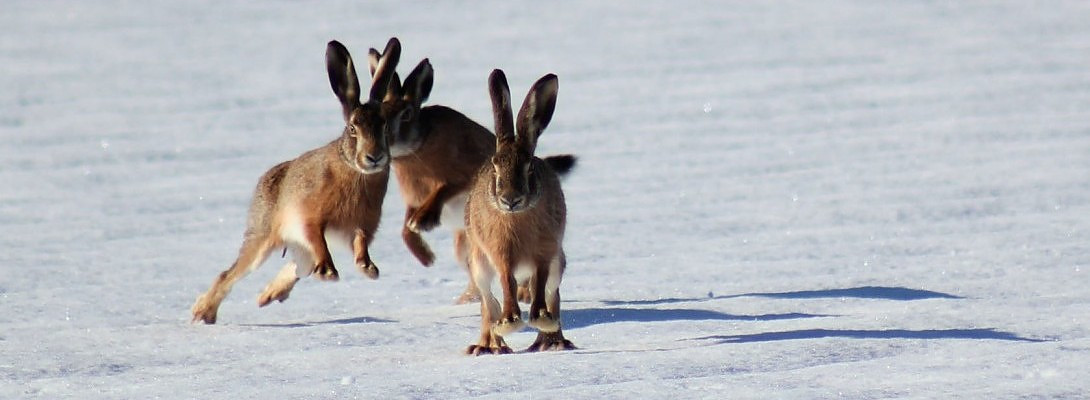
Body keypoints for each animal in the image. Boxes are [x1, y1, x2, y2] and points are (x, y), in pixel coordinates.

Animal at [190, 38, 403, 324]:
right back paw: (203, 313)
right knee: (232, 272)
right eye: (352, 129)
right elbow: (318, 239)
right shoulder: (308, 217)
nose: (375, 157)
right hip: (263, 236)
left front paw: (367, 268)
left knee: (296, 266)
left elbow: (360, 243)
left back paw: (268, 295)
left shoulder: (363, 223)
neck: (353, 170)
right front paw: (329, 273)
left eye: (385, 127)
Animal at [364, 46, 575, 305]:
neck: (420, 143)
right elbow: (405, 229)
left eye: (406, 115)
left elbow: (443, 190)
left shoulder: (460, 177)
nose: (377, 149)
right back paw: (467, 298)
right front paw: (425, 254)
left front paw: (424, 222)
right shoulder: (414, 199)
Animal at [463, 69, 576, 354]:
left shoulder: (545, 251)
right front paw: (510, 322)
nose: (510, 200)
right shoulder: (500, 252)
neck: (518, 217)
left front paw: (539, 317)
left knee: (552, 294)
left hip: (558, 263)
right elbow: (507, 282)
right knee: (488, 304)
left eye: (529, 167)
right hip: (478, 265)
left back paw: (552, 340)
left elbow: (539, 282)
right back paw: (488, 346)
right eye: (495, 166)